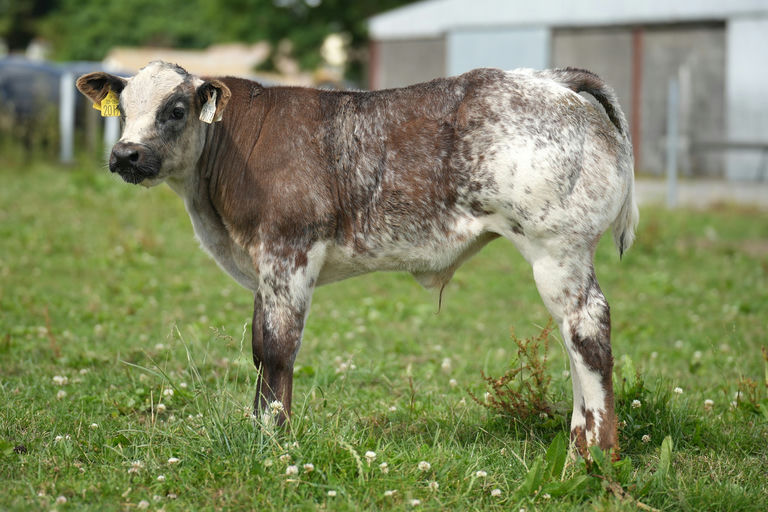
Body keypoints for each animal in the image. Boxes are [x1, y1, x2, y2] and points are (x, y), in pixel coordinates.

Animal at [76, 61, 638, 458]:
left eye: (175, 109)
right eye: (122, 109)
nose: (125, 155)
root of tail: (549, 77)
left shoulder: (288, 251)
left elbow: (277, 350)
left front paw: (274, 440)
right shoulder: (264, 269)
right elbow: (258, 347)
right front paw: (259, 431)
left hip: (557, 248)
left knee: (588, 330)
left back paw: (590, 455)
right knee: (573, 339)